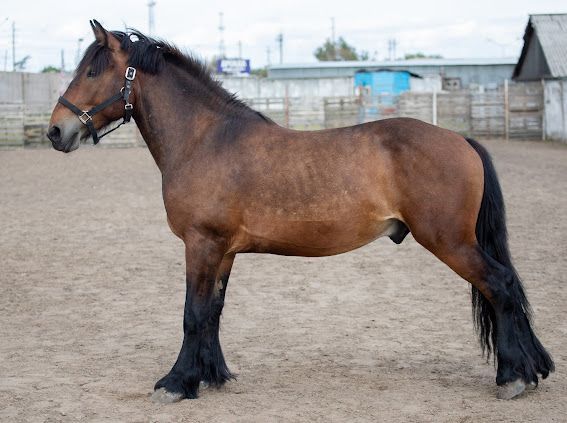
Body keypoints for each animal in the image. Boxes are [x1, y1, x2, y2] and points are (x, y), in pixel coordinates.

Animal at [47, 20, 556, 404]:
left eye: (91, 71)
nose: (56, 131)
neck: (205, 139)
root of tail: (460, 140)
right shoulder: (223, 252)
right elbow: (213, 312)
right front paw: (211, 375)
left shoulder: (201, 244)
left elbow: (192, 313)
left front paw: (176, 383)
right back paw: (527, 371)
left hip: (451, 242)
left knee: (501, 286)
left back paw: (514, 377)